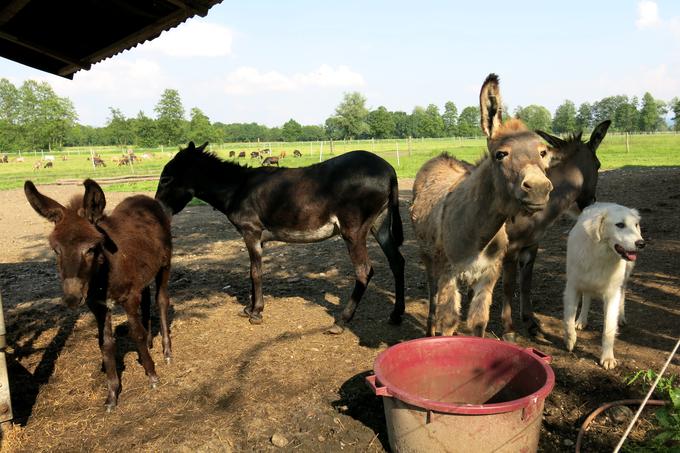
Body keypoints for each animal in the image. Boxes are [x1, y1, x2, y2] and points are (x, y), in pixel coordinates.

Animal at [564, 203, 644, 370]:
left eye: (635, 225)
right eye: (620, 225)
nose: (641, 243)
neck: (600, 254)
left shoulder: (612, 294)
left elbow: (608, 330)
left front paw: (607, 358)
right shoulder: (572, 286)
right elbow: (568, 320)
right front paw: (570, 341)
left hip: (624, 279)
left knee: (623, 294)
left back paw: (621, 317)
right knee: (587, 297)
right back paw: (581, 320)